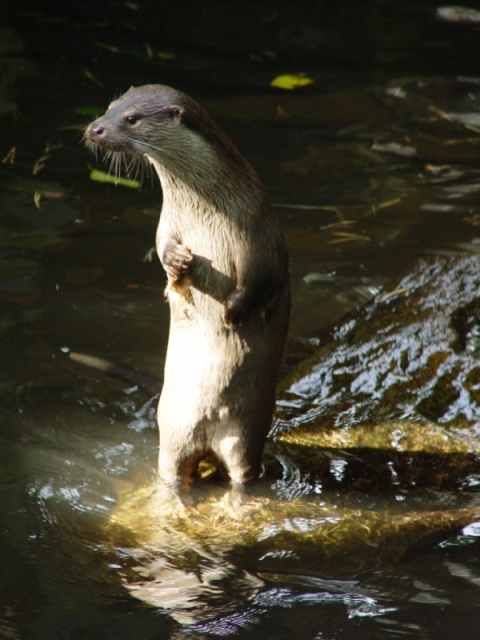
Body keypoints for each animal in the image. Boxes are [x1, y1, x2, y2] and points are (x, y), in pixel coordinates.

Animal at [84, 85, 290, 490]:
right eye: (109, 107)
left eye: (131, 118)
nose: (95, 128)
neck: (208, 211)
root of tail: (208, 434)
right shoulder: (167, 222)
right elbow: (163, 247)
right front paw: (178, 264)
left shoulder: (259, 235)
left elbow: (259, 279)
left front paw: (233, 312)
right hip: (175, 431)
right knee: (174, 468)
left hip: (245, 434)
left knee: (241, 473)